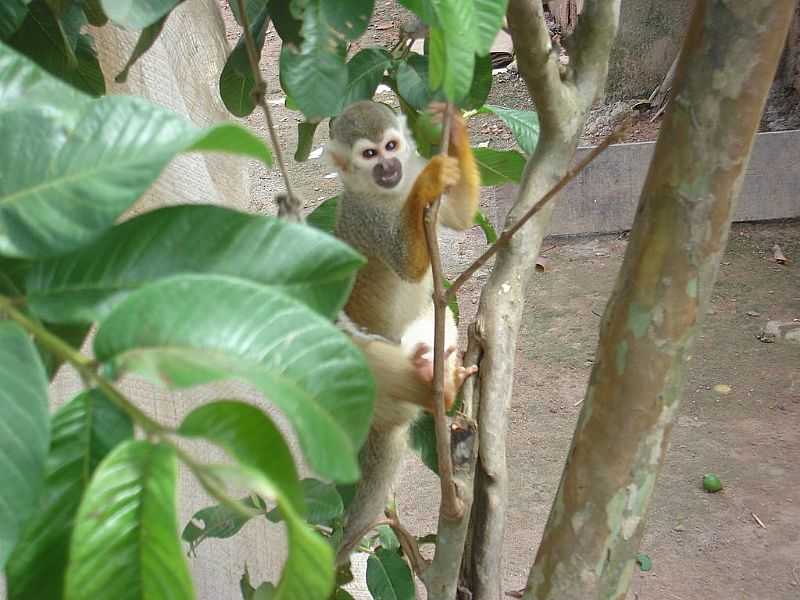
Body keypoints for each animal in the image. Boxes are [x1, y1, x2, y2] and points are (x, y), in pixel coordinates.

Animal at [326, 99, 478, 564]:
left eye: (391, 147)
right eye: (369, 155)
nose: (389, 167)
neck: (388, 194)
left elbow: (460, 218)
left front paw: (455, 131)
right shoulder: (366, 217)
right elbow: (408, 264)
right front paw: (429, 180)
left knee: (434, 315)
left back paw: (441, 381)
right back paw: (436, 392)